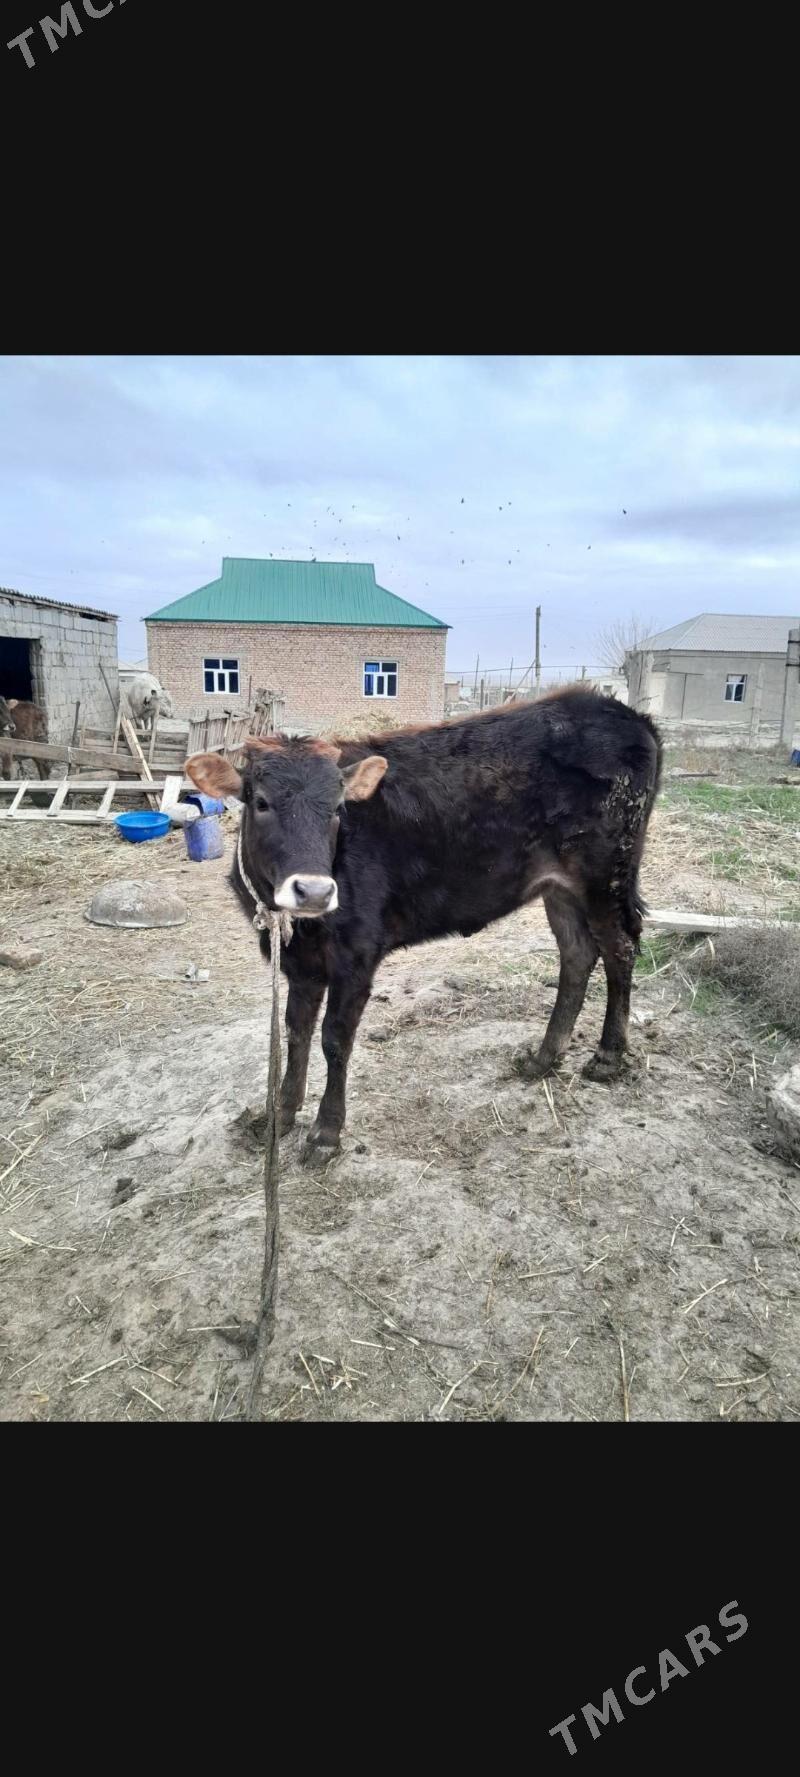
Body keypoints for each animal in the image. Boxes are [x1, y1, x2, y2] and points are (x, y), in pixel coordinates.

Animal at [186, 688, 662, 1162]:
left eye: (338, 808)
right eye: (261, 802)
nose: (315, 891)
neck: (299, 926)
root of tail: (621, 712)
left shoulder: (357, 956)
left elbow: (334, 1040)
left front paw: (325, 1134)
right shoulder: (300, 965)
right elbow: (295, 1033)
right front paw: (280, 1117)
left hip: (607, 876)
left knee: (620, 949)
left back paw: (608, 1056)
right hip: (559, 886)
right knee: (577, 953)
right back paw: (544, 1057)